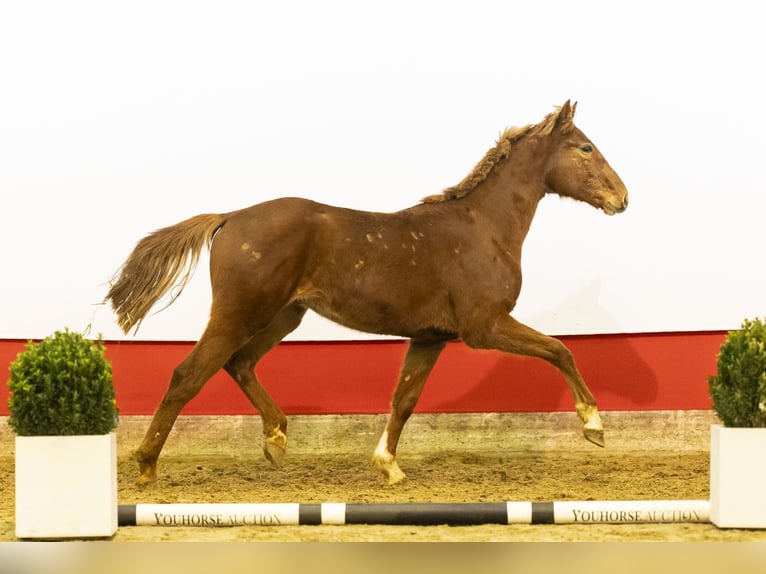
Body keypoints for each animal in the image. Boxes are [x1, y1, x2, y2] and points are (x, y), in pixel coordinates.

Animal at [106, 102, 632, 486]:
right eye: (585, 147)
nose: (622, 198)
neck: (482, 228)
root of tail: (230, 216)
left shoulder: (430, 337)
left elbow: (405, 399)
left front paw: (388, 465)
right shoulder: (485, 327)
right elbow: (560, 349)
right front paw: (594, 425)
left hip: (284, 315)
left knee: (239, 364)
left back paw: (276, 439)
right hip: (240, 312)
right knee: (188, 374)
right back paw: (147, 467)